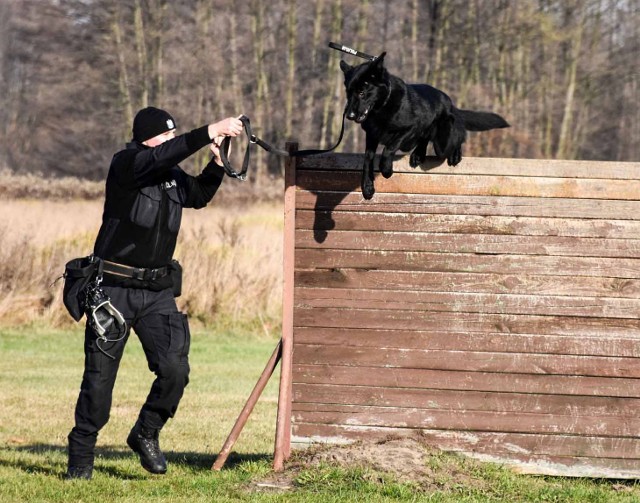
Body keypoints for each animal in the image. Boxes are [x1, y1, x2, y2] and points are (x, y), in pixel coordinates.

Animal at [340, 53, 510, 199]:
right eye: (348, 92)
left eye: (362, 92)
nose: (349, 116)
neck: (383, 105)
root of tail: (450, 104)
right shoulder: (372, 136)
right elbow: (367, 159)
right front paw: (367, 186)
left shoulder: (409, 128)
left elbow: (388, 149)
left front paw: (386, 169)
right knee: (426, 139)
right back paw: (418, 155)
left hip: (443, 142)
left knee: (459, 134)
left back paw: (455, 154)